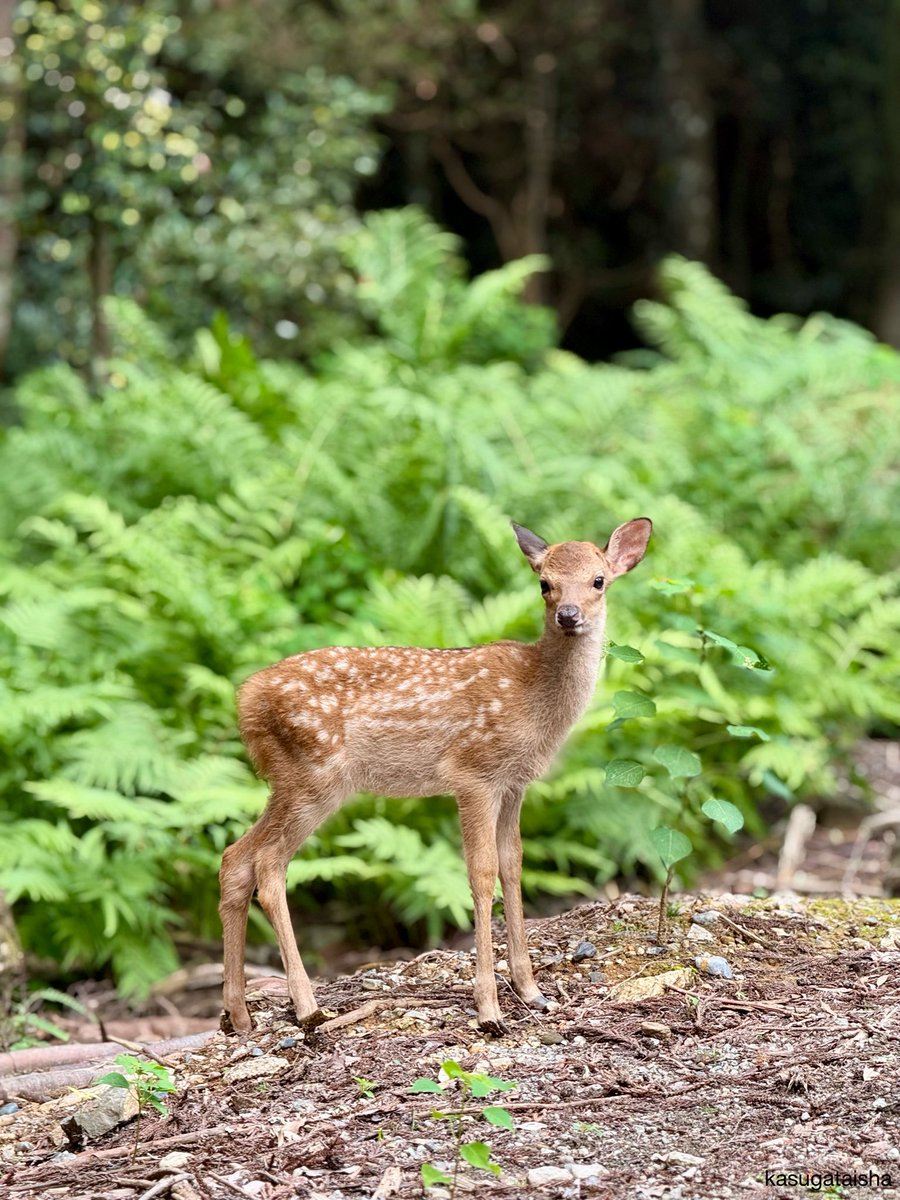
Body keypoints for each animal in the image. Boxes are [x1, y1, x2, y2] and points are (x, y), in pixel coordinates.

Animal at [219, 517, 652, 1035]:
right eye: (544, 583)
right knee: (268, 864)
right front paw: (489, 1009)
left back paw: (239, 1015)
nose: (568, 615)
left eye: (598, 580)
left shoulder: (515, 783)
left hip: (288, 780)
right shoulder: (473, 773)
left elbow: (513, 865)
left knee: (235, 857)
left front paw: (531, 991)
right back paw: (307, 1006)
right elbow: (481, 873)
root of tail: (244, 700)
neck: (534, 698)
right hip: (315, 775)